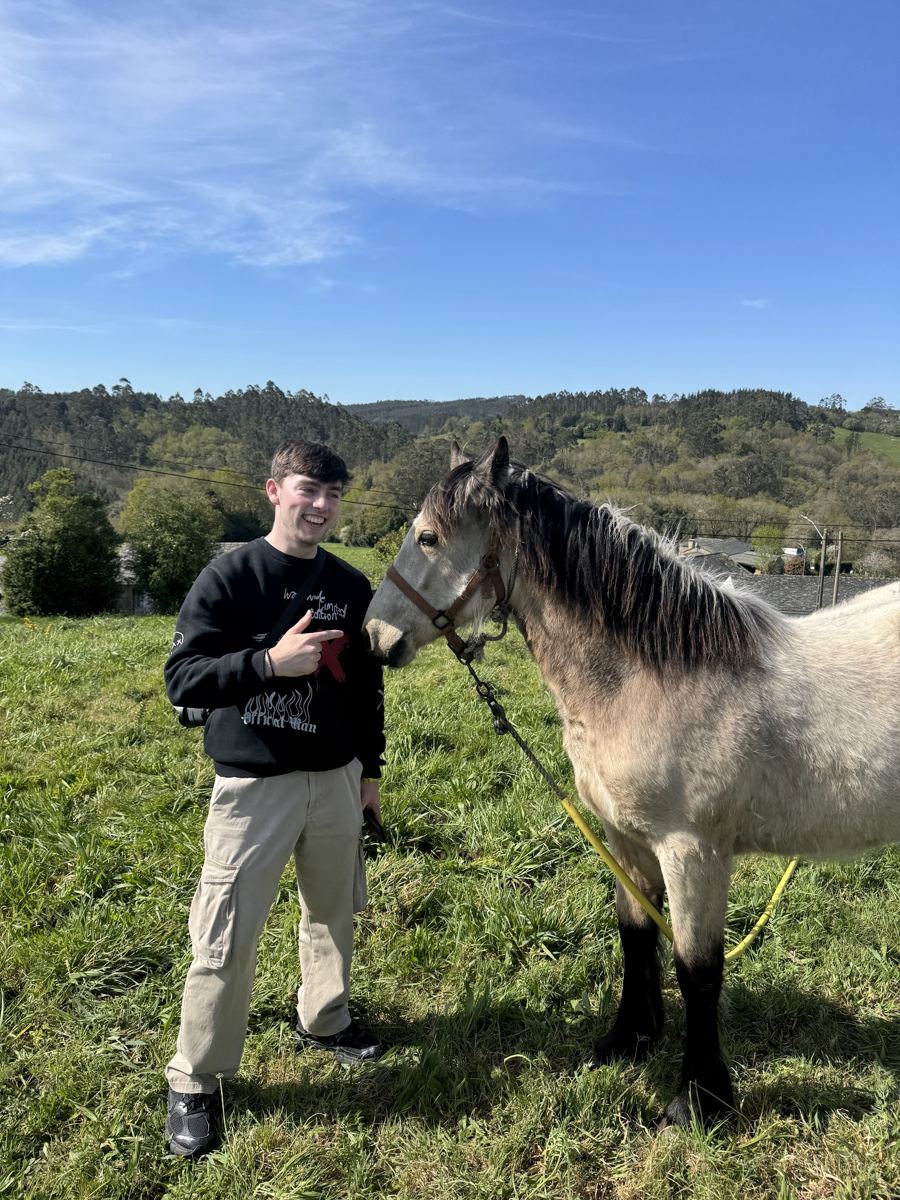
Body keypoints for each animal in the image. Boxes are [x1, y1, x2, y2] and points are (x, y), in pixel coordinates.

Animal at [363, 436, 900, 1127]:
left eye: (429, 537)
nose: (376, 637)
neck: (652, 676)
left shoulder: (692, 852)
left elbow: (698, 970)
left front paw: (699, 1099)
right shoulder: (623, 838)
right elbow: (636, 935)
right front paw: (630, 1039)